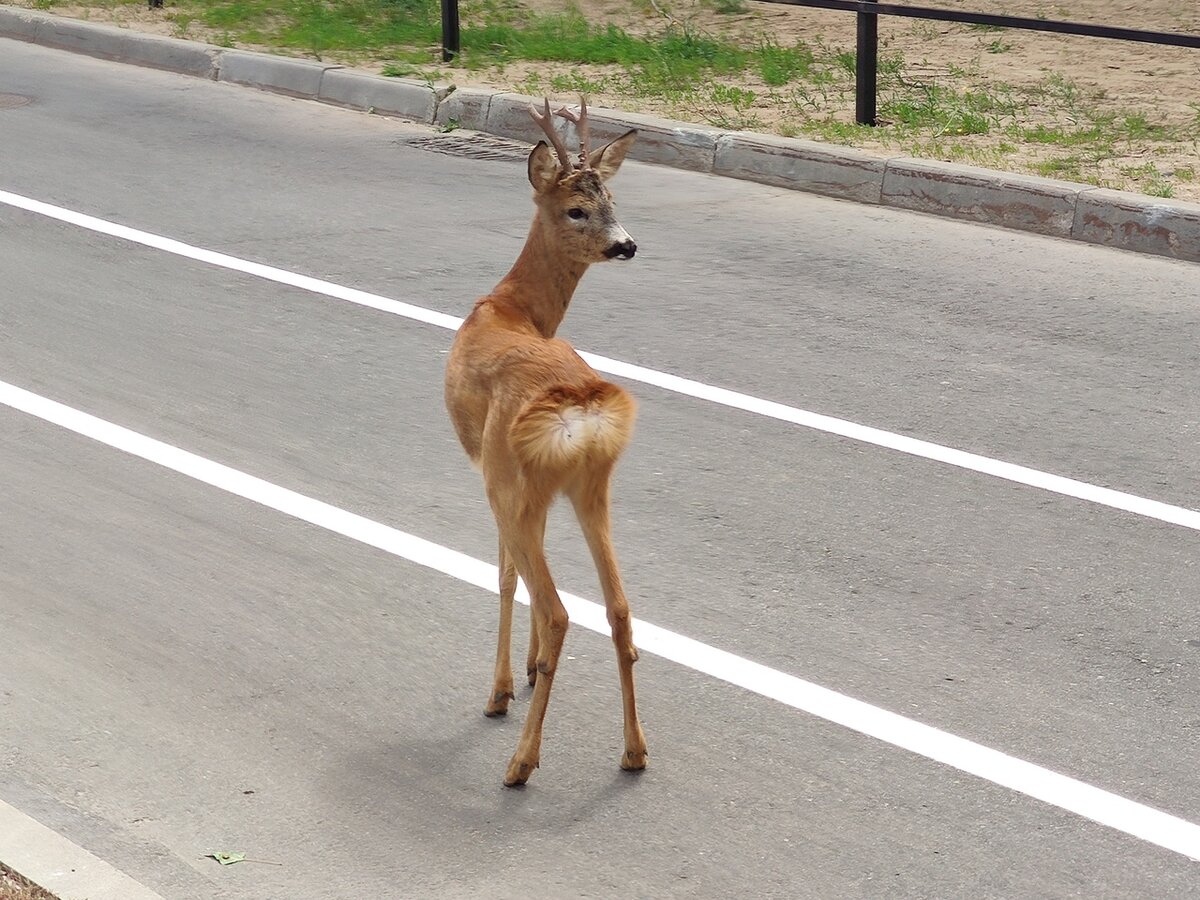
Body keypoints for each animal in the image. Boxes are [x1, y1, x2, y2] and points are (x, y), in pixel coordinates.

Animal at [446, 100, 648, 787]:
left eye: (611, 197)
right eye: (578, 208)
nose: (626, 244)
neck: (511, 308)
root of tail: (580, 403)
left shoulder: (489, 475)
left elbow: (505, 578)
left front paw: (505, 687)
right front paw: (528, 672)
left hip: (514, 478)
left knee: (558, 608)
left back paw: (521, 761)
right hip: (592, 487)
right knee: (619, 608)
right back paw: (635, 751)